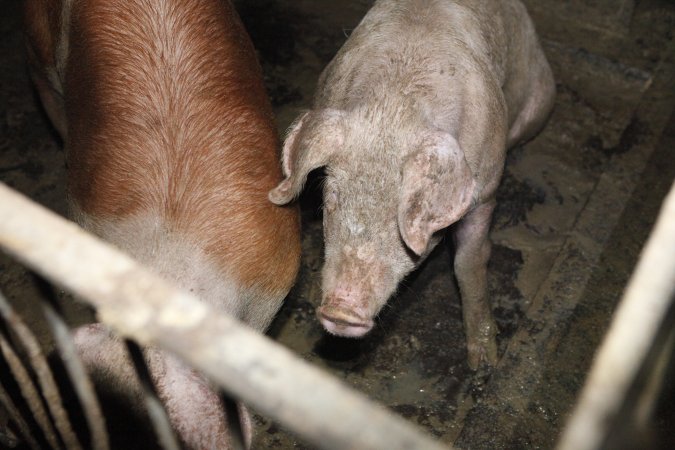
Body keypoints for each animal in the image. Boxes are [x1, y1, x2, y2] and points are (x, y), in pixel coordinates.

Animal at [268, 0, 556, 370]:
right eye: (331, 201)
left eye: (402, 217)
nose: (341, 310)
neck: (394, 110)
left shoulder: (486, 189)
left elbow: (470, 262)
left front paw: (482, 363)